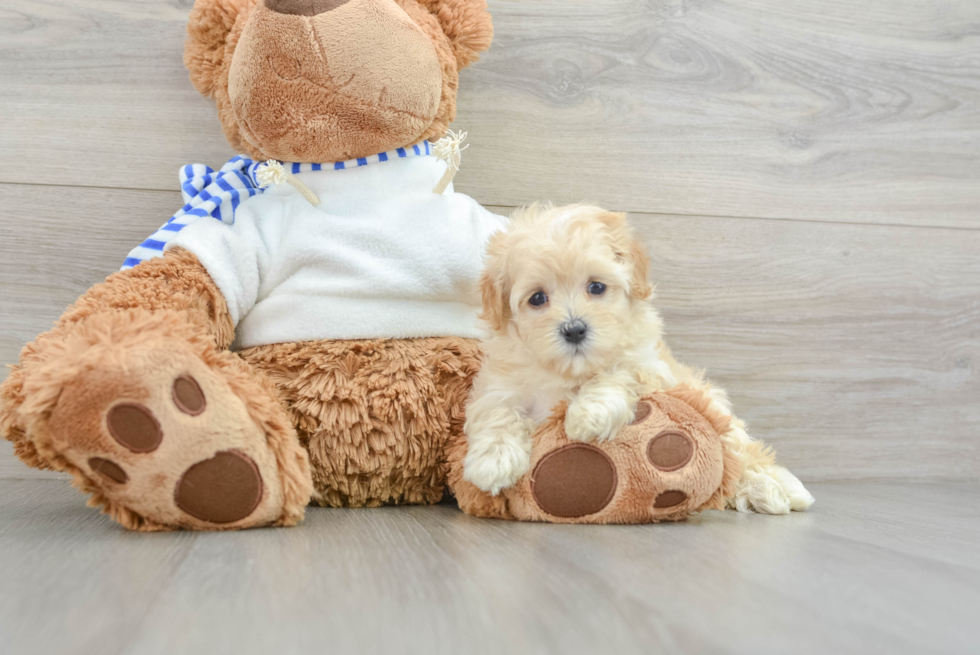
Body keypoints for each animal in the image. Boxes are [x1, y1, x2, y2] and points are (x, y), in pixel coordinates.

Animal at [464, 204, 816, 512]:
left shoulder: (650, 367)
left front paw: (589, 414)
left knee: (746, 455)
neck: (569, 371)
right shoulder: (499, 382)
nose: (574, 329)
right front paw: (492, 461)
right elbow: (496, 411)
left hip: (719, 412)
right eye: (537, 298)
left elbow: (618, 371)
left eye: (596, 286)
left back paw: (777, 490)